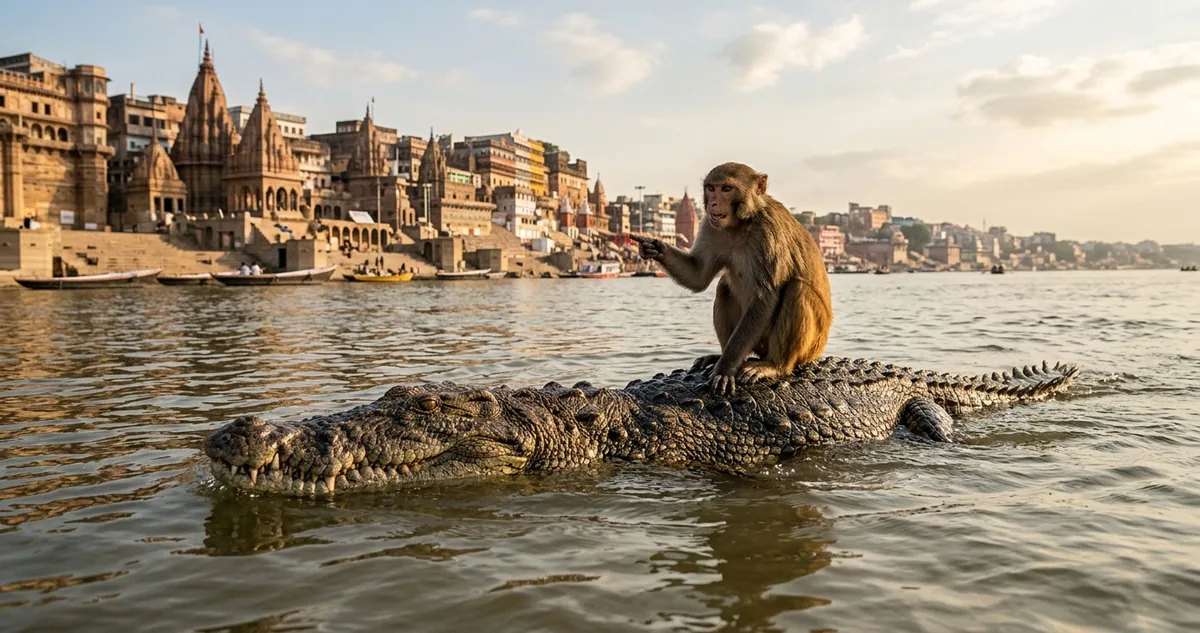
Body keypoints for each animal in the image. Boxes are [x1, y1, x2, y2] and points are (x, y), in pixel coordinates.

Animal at [631, 162, 833, 397]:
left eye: (727, 189)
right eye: (711, 188)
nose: (714, 202)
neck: (742, 223)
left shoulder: (768, 232)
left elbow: (765, 296)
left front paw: (725, 369)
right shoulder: (710, 225)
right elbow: (698, 275)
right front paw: (654, 246)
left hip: (810, 346)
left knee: (797, 288)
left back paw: (774, 365)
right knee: (724, 287)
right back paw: (721, 354)